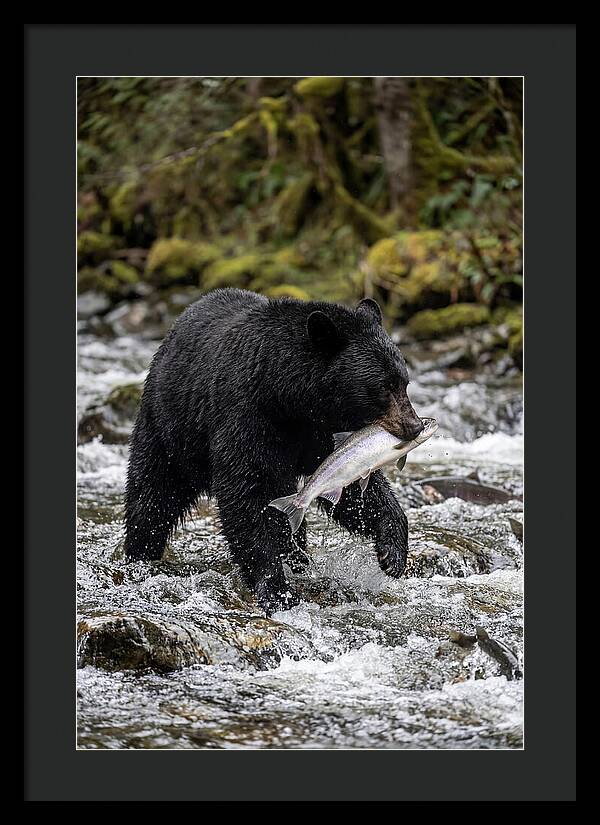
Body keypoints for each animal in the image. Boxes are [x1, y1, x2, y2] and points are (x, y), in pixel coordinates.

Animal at [124, 288, 424, 613]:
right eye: (382, 387)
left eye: (404, 382)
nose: (415, 426)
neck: (289, 398)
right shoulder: (248, 415)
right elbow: (246, 493)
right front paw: (276, 589)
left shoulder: (323, 433)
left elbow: (351, 485)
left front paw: (392, 552)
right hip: (170, 428)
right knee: (153, 493)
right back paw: (140, 554)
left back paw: (298, 558)